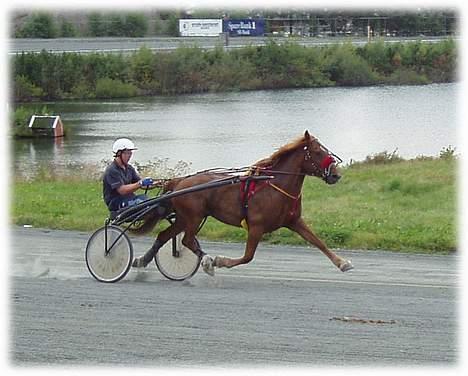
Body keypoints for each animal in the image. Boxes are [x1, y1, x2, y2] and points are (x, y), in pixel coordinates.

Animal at [132, 132, 352, 276]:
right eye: (316, 151)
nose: (335, 174)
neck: (275, 185)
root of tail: (178, 182)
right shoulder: (256, 226)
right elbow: (248, 256)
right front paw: (220, 261)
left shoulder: (294, 221)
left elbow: (318, 241)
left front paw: (342, 263)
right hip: (193, 217)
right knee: (186, 240)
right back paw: (208, 261)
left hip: (184, 218)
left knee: (164, 235)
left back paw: (142, 260)